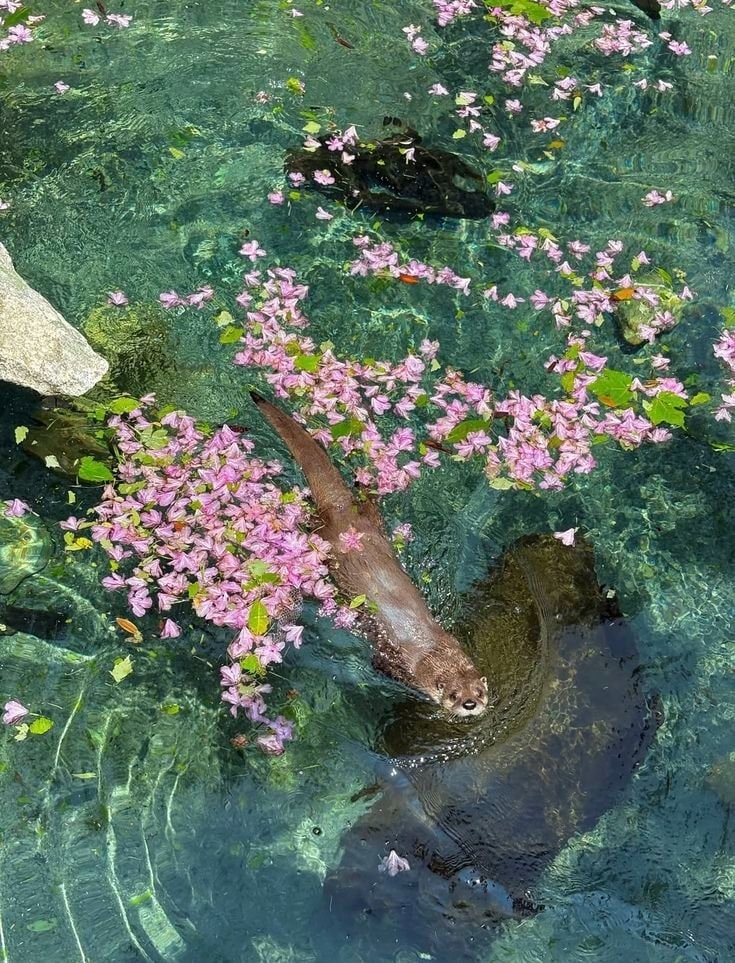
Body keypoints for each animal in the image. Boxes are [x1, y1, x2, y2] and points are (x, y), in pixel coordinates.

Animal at [250, 392, 489, 717]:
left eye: (479, 690)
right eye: (453, 693)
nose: (470, 704)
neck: (431, 651)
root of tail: (340, 510)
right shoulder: (398, 664)